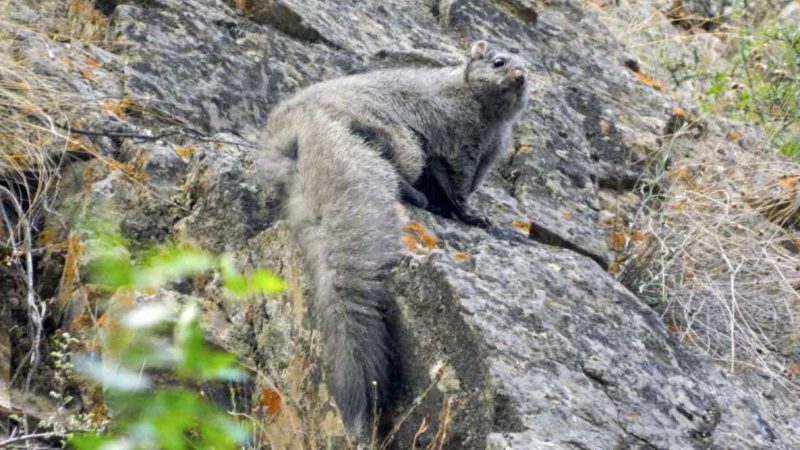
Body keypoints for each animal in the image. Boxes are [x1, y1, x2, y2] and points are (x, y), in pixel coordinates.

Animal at [260, 41, 524, 436]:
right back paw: (416, 196)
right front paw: (472, 214)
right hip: (400, 139)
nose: (520, 76)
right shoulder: (461, 145)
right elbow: (458, 186)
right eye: (498, 62)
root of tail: (296, 124)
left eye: (529, 69)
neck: (491, 127)